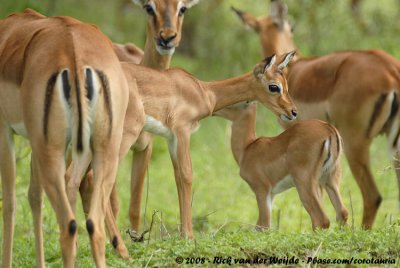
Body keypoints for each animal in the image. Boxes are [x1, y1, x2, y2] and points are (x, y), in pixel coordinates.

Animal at [214, 102, 348, 228]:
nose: (215, 110)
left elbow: (263, 225)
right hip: (330, 178)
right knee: (342, 213)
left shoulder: (262, 189)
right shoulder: (272, 194)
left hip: (305, 182)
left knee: (321, 219)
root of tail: (329, 130)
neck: (247, 148)